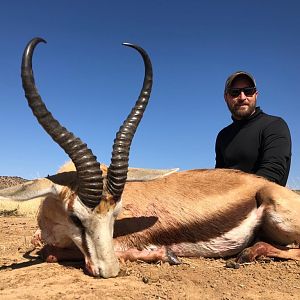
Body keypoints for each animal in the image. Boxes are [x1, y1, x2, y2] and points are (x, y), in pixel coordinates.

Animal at [0, 37, 300, 278]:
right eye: (75, 217)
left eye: (116, 214)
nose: (109, 270)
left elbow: (50, 252)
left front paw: (165, 255)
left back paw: (246, 254)